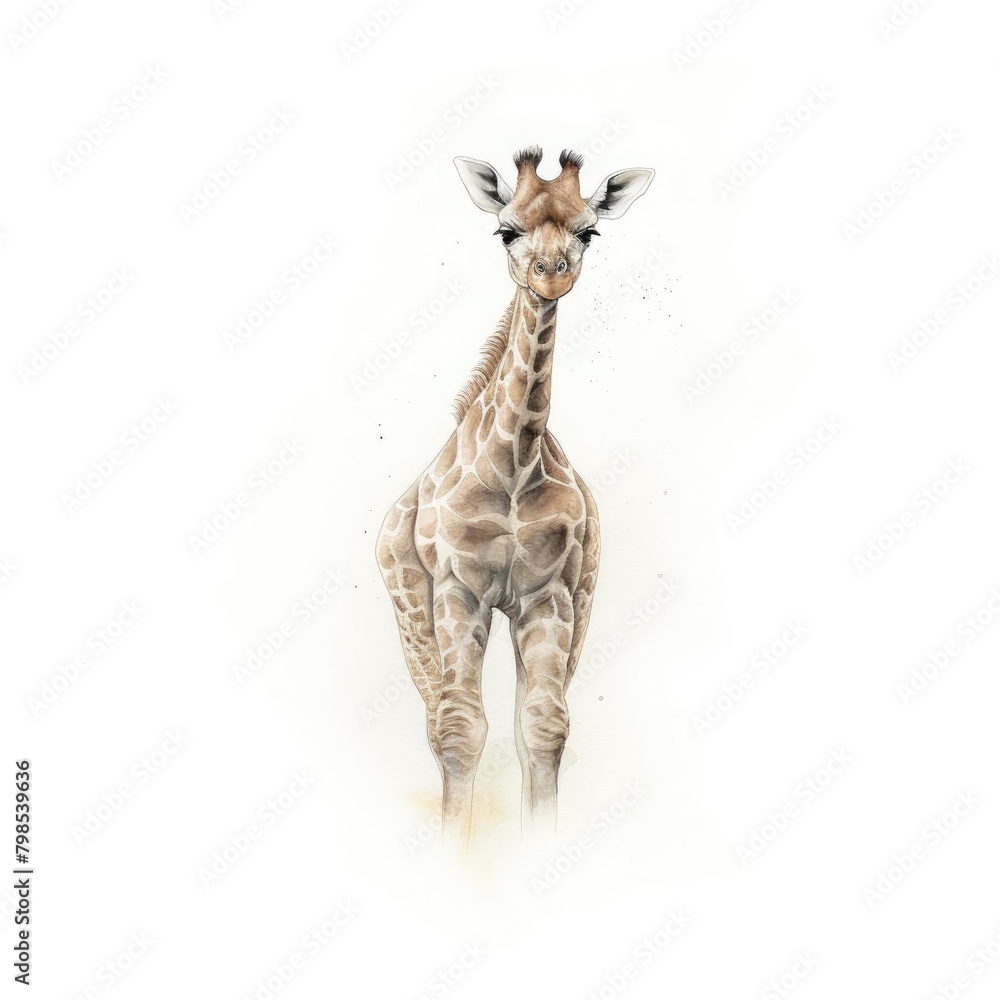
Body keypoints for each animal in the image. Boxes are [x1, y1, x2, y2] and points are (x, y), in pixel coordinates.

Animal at [376, 145, 653, 847]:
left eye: (589, 231)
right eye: (507, 230)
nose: (550, 275)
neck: (513, 467)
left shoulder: (548, 596)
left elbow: (543, 727)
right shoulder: (457, 591)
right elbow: (459, 729)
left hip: (581, 603)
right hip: (411, 613)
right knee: (436, 720)